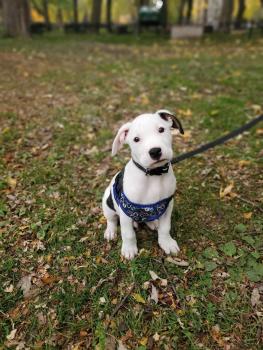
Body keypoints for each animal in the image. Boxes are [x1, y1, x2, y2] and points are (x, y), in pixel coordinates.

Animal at [102, 109, 185, 260]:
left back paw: (152, 222)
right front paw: (129, 249)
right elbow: (128, 234)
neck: (153, 175)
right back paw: (111, 231)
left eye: (161, 129)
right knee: (111, 220)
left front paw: (167, 243)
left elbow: (165, 228)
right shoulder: (125, 211)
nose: (155, 151)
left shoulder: (167, 205)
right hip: (107, 204)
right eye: (136, 139)